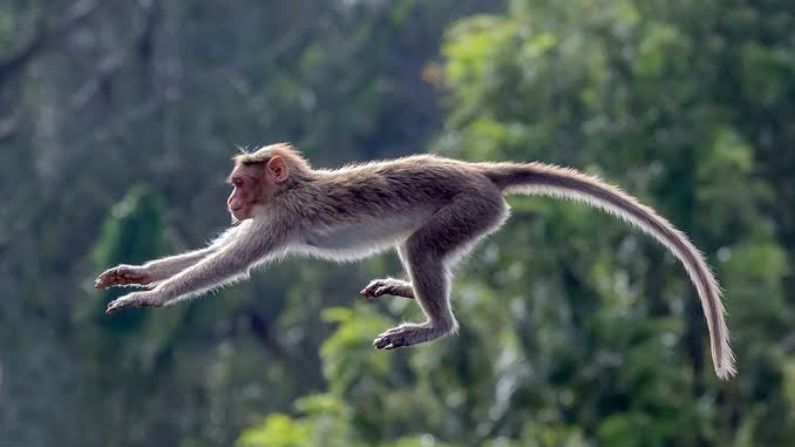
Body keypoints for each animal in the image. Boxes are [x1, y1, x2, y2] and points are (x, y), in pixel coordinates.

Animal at [96, 142, 736, 380]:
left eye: (237, 183)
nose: (229, 202)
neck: (291, 187)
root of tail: (480, 172)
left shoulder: (281, 219)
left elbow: (227, 264)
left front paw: (146, 297)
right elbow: (212, 252)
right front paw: (134, 275)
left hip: (471, 208)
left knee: (421, 248)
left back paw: (433, 323)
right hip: (480, 214)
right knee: (426, 253)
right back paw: (406, 292)